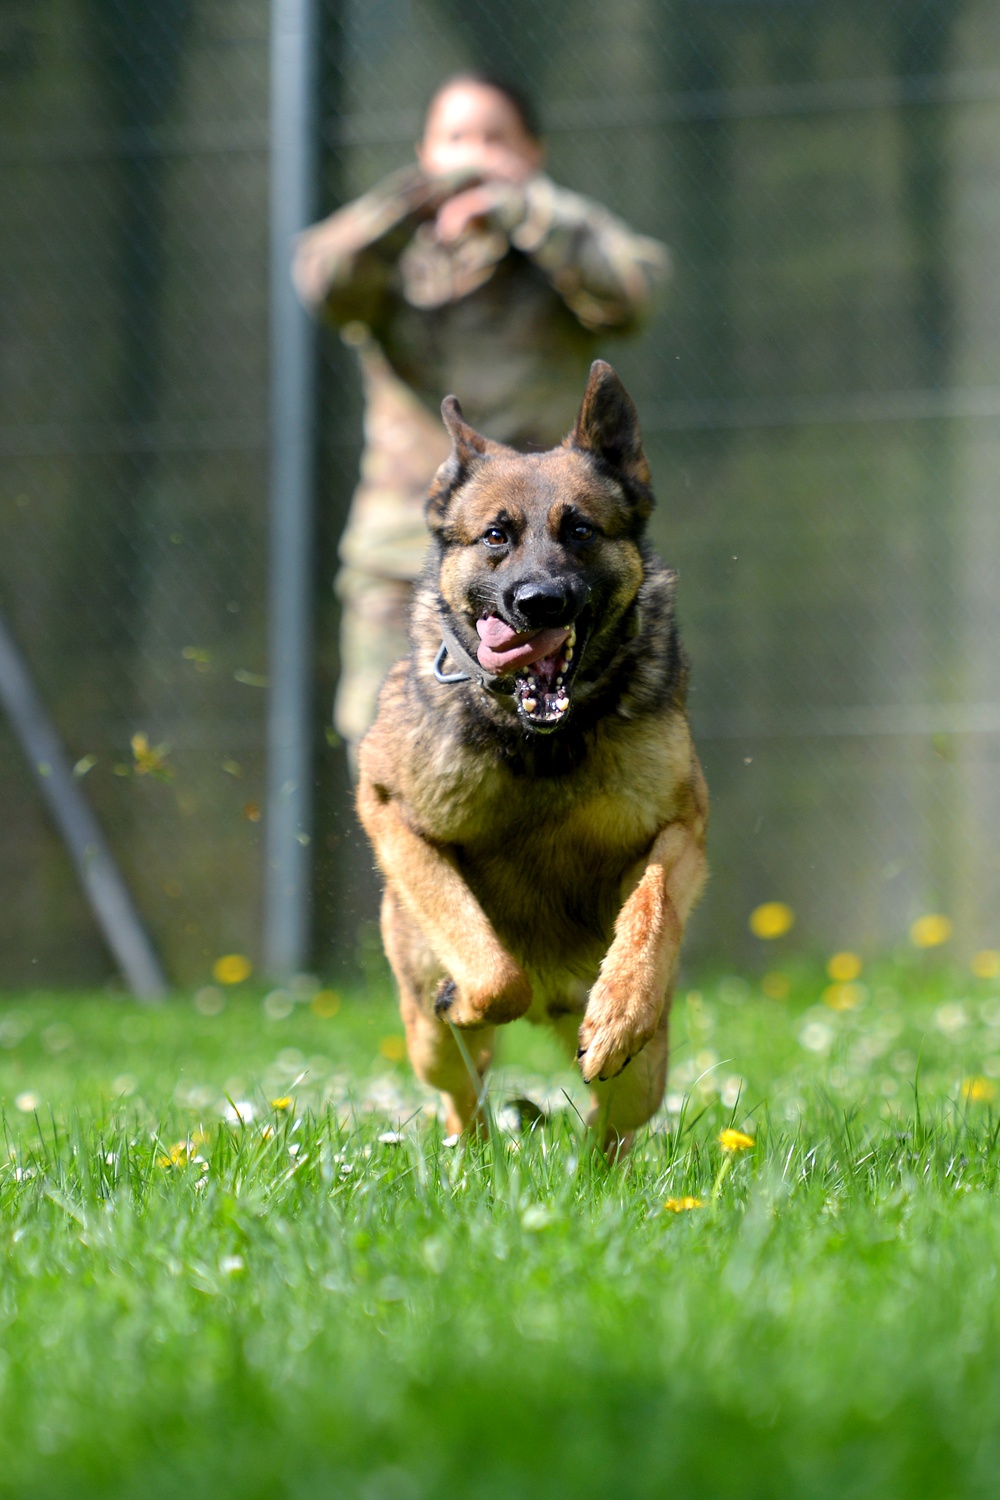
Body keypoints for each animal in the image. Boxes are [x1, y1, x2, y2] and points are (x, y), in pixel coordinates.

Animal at [355, 357, 707, 1152]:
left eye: (579, 530)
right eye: (495, 536)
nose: (539, 602)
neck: (539, 741)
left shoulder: (681, 826)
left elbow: (650, 911)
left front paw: (619, 1010)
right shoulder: (388, 809)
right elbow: (493, 972)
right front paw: (471, 992)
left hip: (645, 1079)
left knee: (613, 1131)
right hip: (428, 1039)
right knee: (463, 1097)